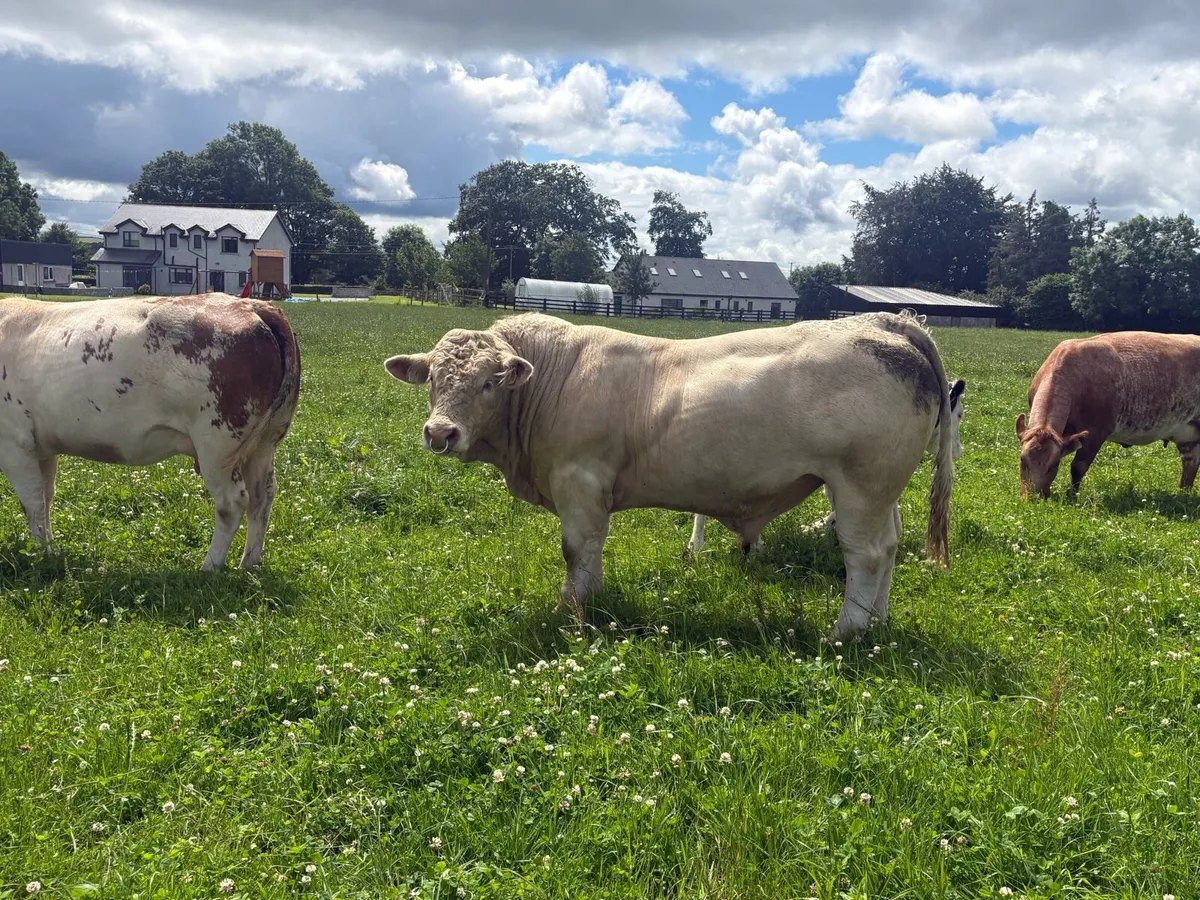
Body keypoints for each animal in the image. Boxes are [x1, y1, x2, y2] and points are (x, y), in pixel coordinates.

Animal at [0, 292, 300, 569]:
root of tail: (251, 304)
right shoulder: (42, 449)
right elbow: (45, 497)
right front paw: (48, 549)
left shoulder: (14, 446)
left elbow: (32, 503)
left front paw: (41, 555)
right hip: (264, 443)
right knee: (262, 496)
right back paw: (249, 564)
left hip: (217, 445)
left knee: (232, 503)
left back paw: (209, 567)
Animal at [1017, 331, 1200, 499]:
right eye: (1022, 460)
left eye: (1054, 465)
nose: (1033, 498)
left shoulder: (1096, 432)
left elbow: (1078, 466)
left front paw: (1072, 496)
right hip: (1188, 436)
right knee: (1190, 463)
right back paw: (1183, 494)